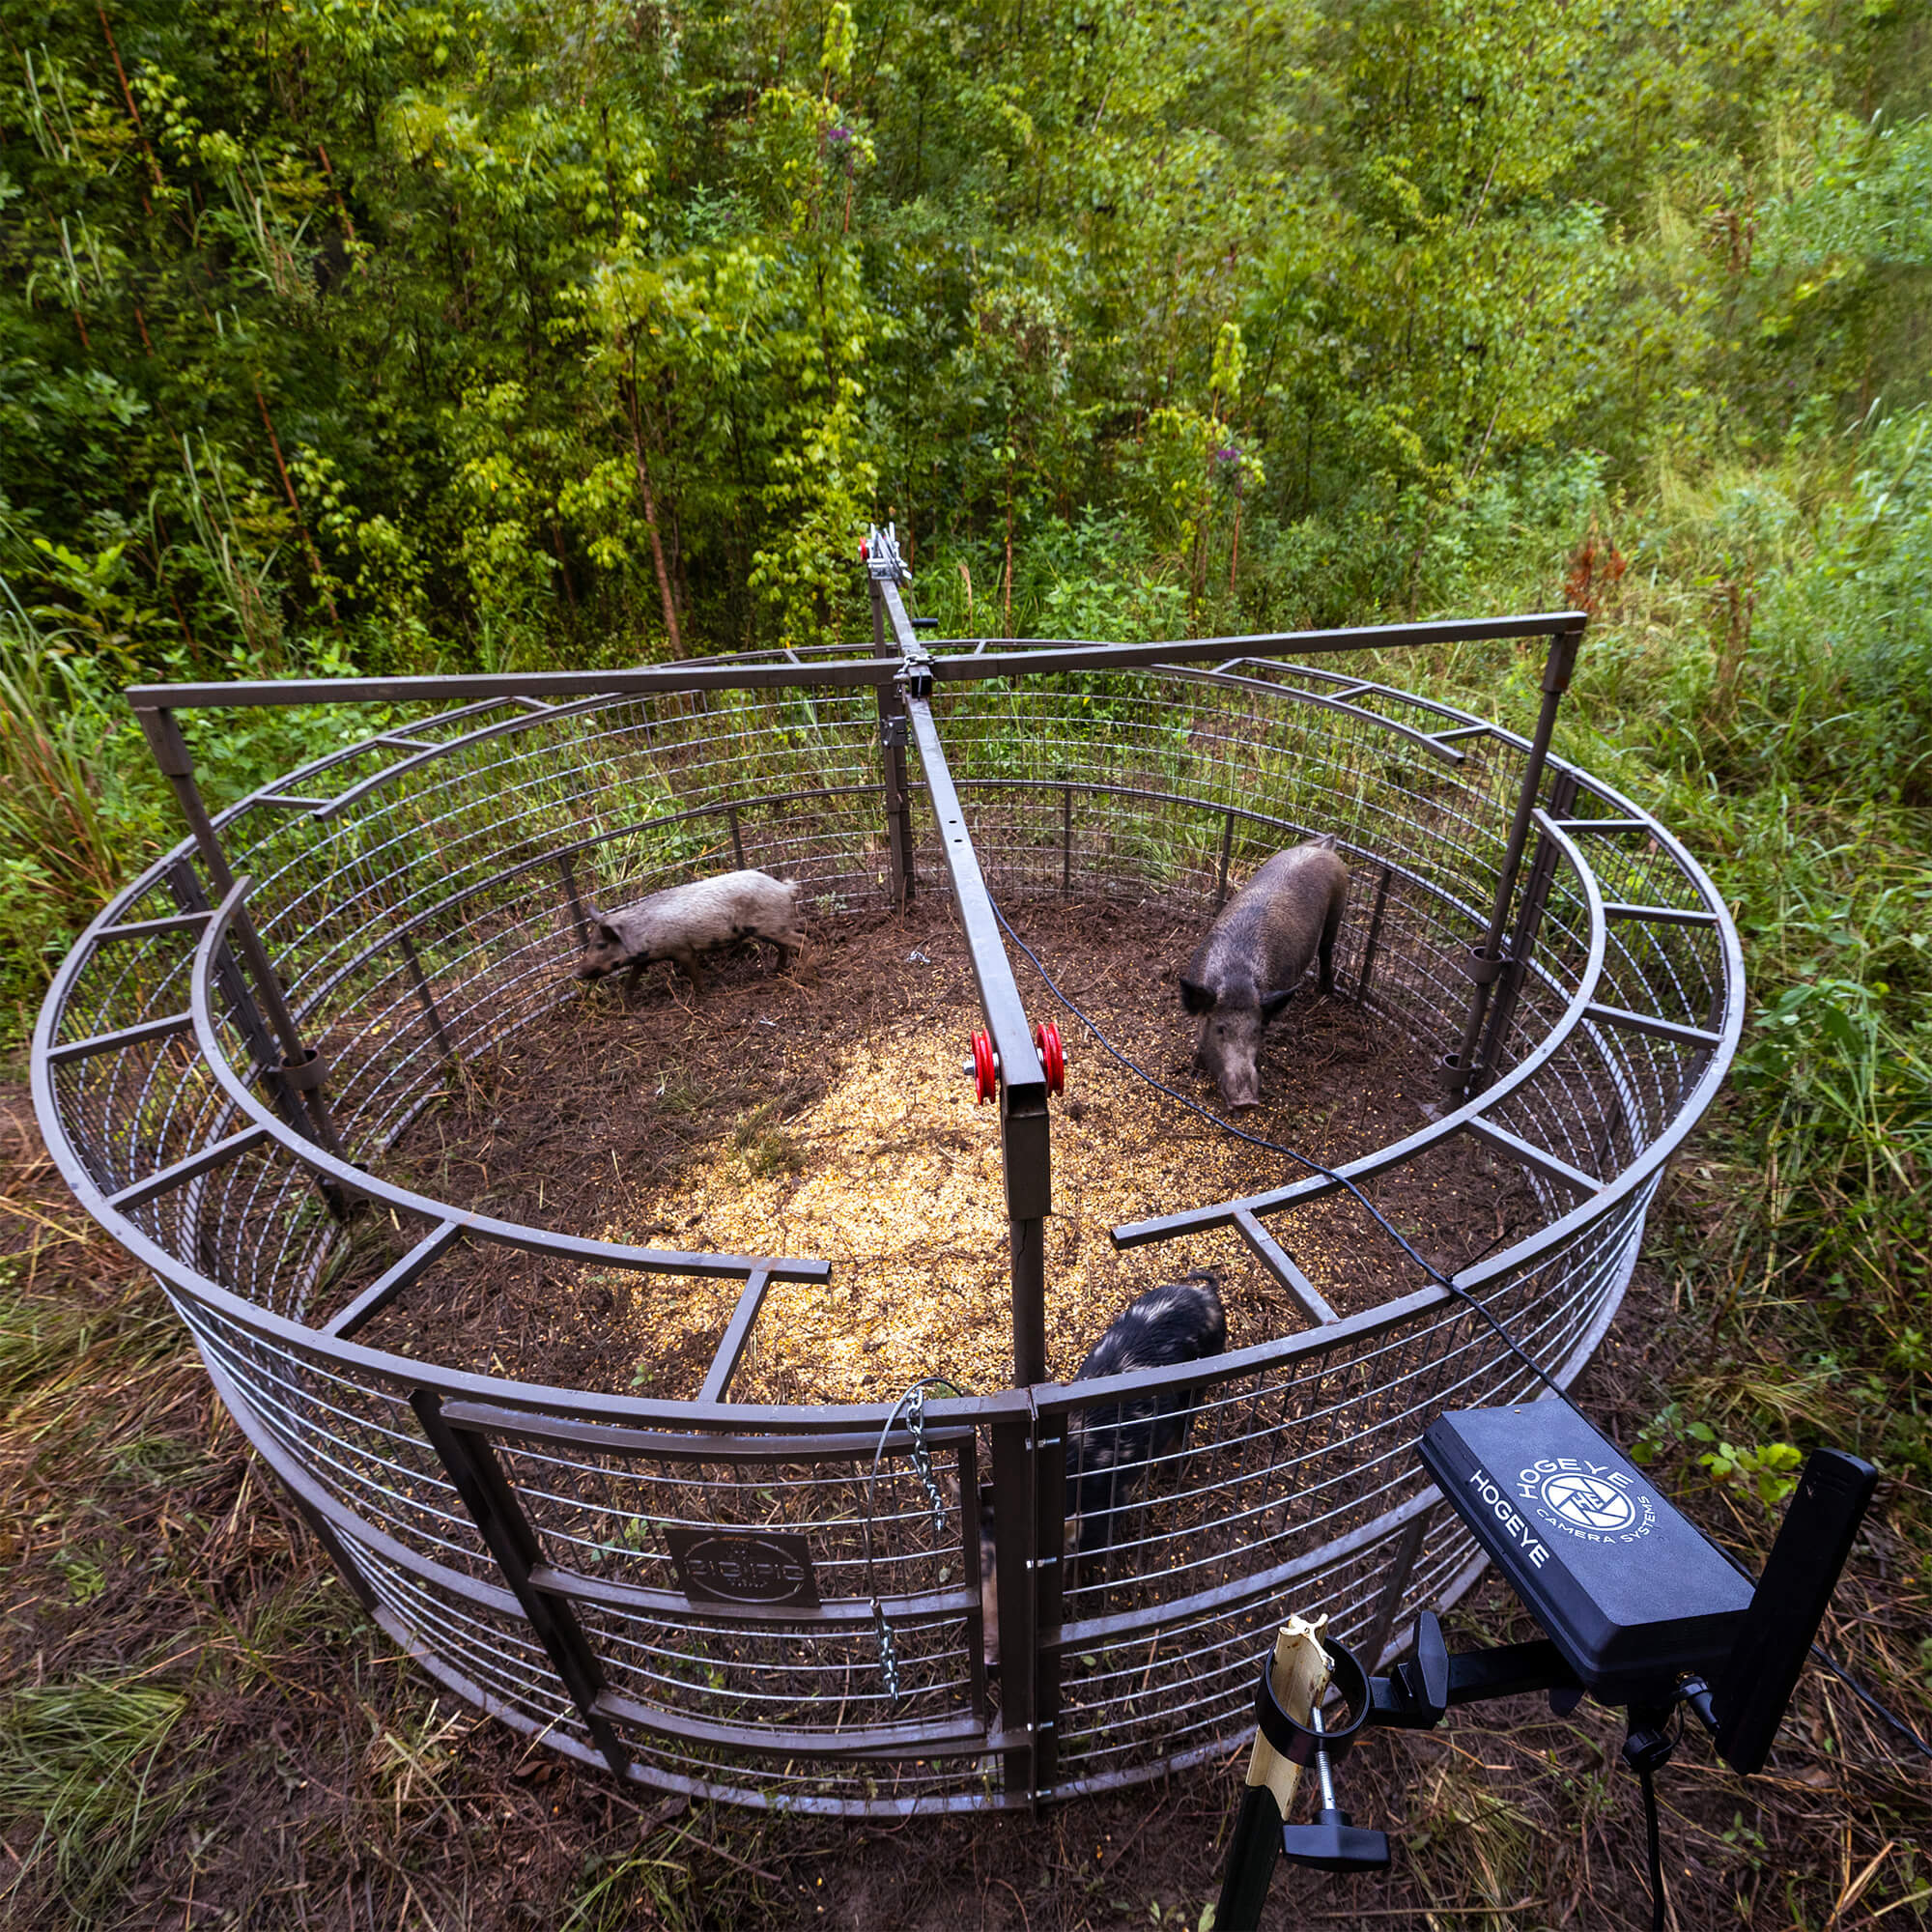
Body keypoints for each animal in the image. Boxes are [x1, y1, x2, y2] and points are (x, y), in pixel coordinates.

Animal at [572, 869, 804, 999]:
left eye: (602, 945)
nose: (576, 973)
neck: (642, 932)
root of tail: (785, 888)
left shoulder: (682, 949)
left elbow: (693, 972)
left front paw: (701, 994)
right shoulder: (646, 957)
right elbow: (633, 975)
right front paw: (625, 1000)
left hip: (770, 926)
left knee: (799, 939)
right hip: (769, 929)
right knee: (785, 946)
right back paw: (775, 970)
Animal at [1180, 836, 1350, 1110]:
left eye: (1256, 1030)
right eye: (1220, 1029)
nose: (1246, 1101)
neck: (1237, 976)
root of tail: (1324, 847)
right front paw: (1194, 1072)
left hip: (1338, 909)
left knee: (1327, 949)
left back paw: (1327, 991)